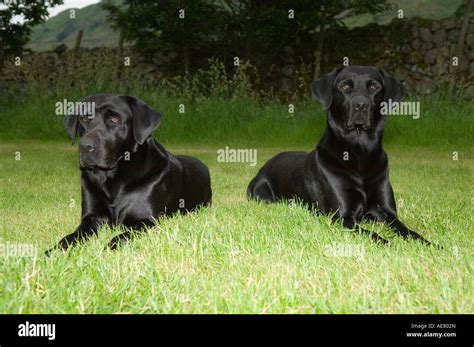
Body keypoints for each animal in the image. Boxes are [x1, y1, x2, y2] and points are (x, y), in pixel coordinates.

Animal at [45, 94, 211, 254]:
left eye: (114, 119)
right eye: (84, 119)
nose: (85, 146)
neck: (112, 176)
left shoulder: (146, 221)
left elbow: (119, 238)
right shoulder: (91, 217)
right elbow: (71, 236)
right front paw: (54, 251)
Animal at [248, 65, 434, 245]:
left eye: (374, 86)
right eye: (345, 87)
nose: (361, 105)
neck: (359, 151)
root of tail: (264, 165)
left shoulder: (387, 213)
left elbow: (409, 231)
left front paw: (430, 244)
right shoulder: (342, 217)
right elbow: (372, 234)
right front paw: (389, 244)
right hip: (263, 195)